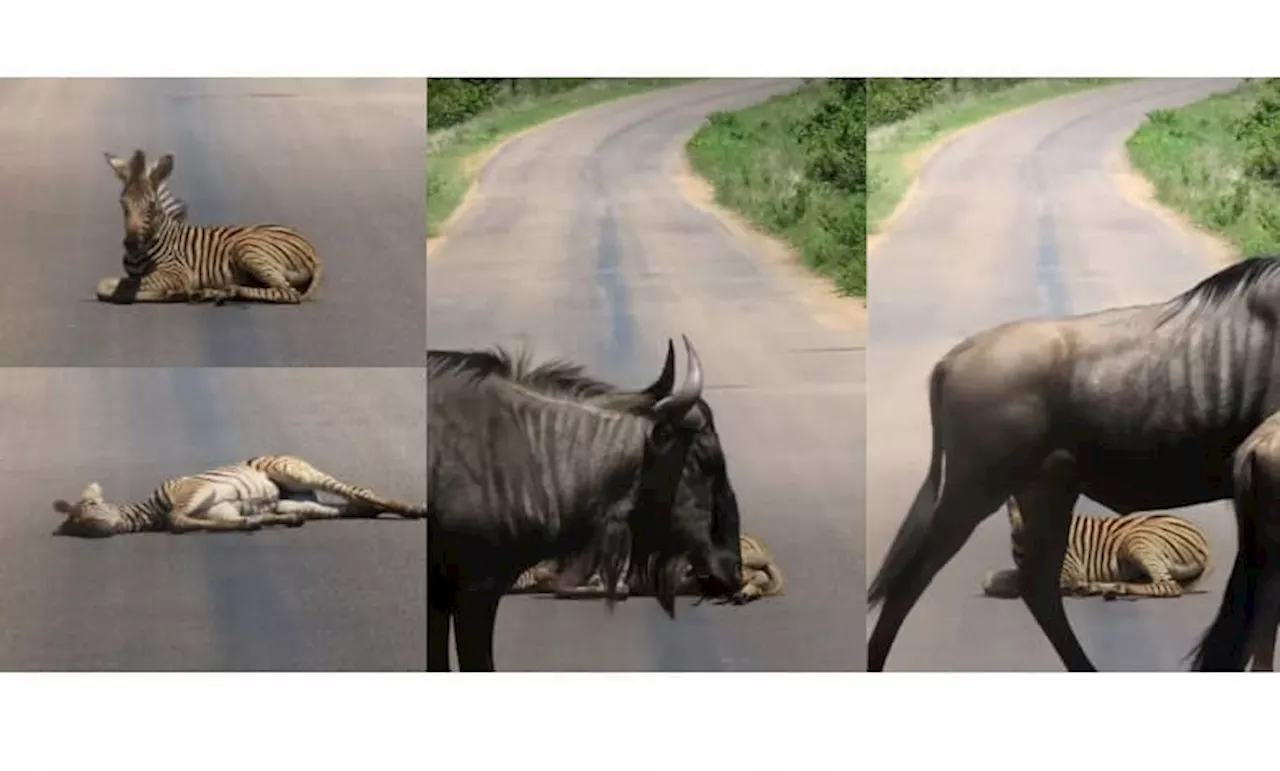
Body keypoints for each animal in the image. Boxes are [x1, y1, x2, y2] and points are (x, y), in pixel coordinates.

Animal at [99, 148, 325, 304]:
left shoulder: (176, 273)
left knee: (288, 292)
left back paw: (225, 291)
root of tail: (311, 248)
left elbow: (108, 287)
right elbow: (110, 286)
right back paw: (213, 292)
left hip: (247, 248)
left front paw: (175, 292)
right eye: (123, 203)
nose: (131, 244)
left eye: (152, 206)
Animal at [977, 499, 1208, 599]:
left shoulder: (1068, 570)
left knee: (1167, 586)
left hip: (1136, 540)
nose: (1020, 535)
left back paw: (1109, 589)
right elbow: (990, 579)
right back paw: (1101, 588)